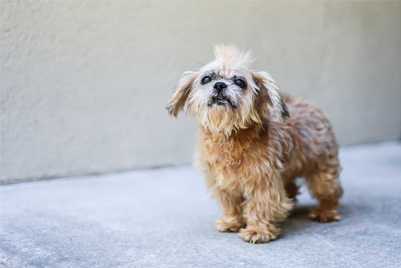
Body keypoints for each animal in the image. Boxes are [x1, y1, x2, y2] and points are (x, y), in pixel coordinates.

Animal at [166, 45, 340, 244]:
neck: (229, 137)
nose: (219, 85)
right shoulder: (222, 182)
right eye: (207, 79)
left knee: (331, 192)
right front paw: (232, 222)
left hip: (323, 173)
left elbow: (260, 206)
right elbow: (231, 204)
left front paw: (257, 230)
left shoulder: (263, 181)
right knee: (292, 188)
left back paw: (325, 212)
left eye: (240, 82)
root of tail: (313, 106)